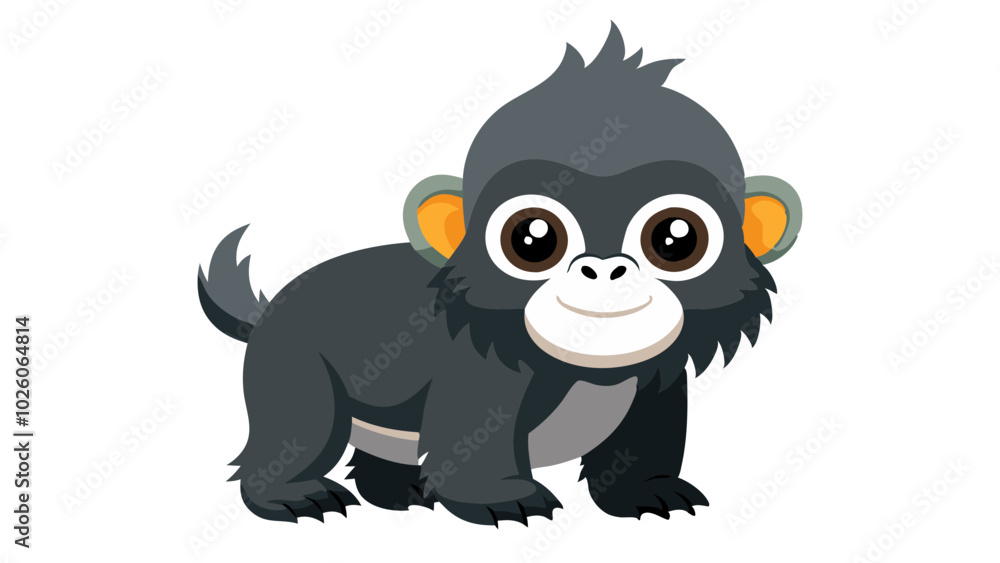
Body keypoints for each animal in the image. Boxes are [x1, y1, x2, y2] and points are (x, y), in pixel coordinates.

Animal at [197, 23, 802, 527]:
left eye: (675, 239)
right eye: (532, 239)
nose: (604, 268)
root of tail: (269, 309)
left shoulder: (657, 380)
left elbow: (640, 445)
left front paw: (645, 491)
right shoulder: (480, 371)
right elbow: (472, 440)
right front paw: (503, 499)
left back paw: (398, 493)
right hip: (290, 364)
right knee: (299, 431)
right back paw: (293, 496)